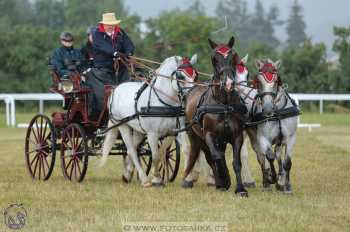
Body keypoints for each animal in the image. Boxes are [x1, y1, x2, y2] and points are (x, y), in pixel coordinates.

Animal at [100, 54, 198, 187]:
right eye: (180, 76)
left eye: (195, 75)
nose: (192, 95)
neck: (164, 103)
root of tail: (116, 89)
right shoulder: (152, 134)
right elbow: (155, 154)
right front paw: (156, 179)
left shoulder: (177, 130)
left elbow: (186, 150)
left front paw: (188, 178)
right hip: (123, 126)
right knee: (131, 149)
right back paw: (144, 179)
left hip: (138, 130)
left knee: (133, 149)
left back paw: (127, 174)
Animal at [183, 37, 249, 197]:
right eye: (214, 59)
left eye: (233, 57)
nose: (229, 83)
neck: (224, 104)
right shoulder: (209, 134)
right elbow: (217, 157)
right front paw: (224, 179)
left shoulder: (237, 135)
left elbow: (236, 162)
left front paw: (240, 189)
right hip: (197, 136)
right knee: (210, 157)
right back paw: (219, 181)